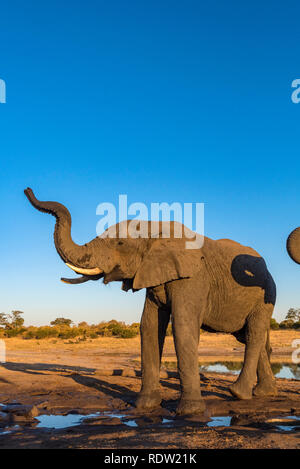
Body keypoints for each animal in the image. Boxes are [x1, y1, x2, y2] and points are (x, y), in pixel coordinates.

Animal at [24, 186, 278, 414]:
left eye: (120, 243)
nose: (27, 190)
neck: (154, 228)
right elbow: (149, 326)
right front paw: (145, 405)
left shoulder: (192, 278)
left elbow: (183, 326)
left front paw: (190, 412)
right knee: (248, 336)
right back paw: (264, 393)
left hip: (266, 294)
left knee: (253, 334)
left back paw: (238, 394)